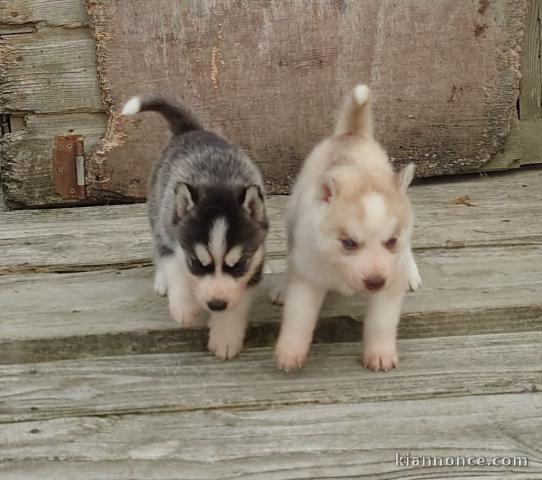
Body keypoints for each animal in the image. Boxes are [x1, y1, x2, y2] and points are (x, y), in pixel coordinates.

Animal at [122, 95, 268, 360]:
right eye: (198, 264)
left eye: (238, 265)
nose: (216, 305)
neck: (218, 182)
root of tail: (191, 130)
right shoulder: (172, 237)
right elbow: (175, 268)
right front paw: (184, 306)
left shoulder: (255, 258)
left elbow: (239, 299)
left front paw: (225, 336)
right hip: (157, 212)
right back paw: (162, 282)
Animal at [274, 85, 422, 372]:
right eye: (349, 243)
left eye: (391, 242)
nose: (375, 282)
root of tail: (351, 134)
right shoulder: (307, 274)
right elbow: (299, 317)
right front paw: (290, 352)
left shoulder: (389, 285)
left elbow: (381, 321)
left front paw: (380, 353)